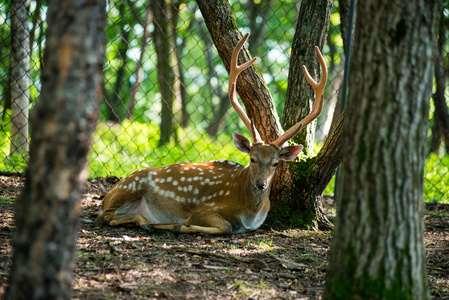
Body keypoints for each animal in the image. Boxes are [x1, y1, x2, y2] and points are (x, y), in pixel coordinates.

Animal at [93, 32, 326, 234]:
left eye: (276, 163)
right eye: (252, 158)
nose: (261, 184)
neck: (249, 211)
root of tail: (110, 192)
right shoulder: (205, 209)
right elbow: (226, 227)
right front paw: (180, 225)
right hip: (130, 188)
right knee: (103, 216)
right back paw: (147, 222)